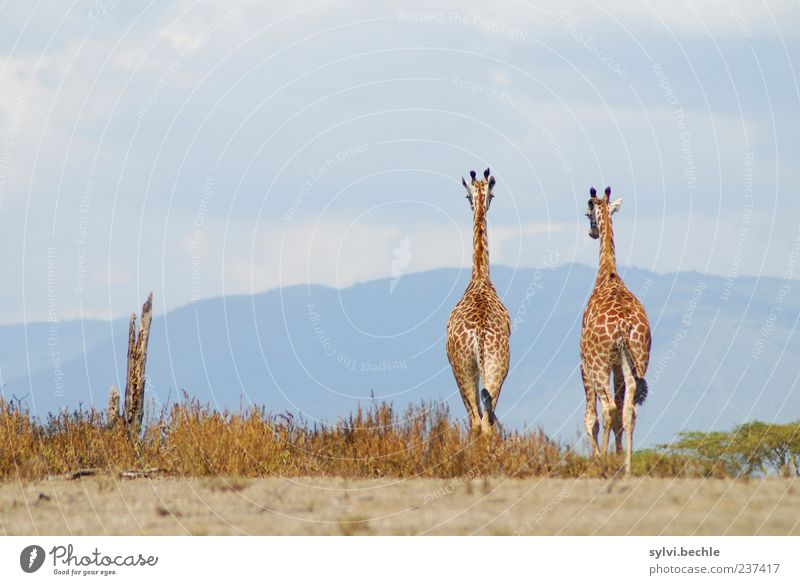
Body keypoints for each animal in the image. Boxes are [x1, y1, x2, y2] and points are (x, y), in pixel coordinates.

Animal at [444, 167, 512, 432]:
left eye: (466, 196)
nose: (474, 203)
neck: (480, 278)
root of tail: (479, 336)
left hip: (467, 369)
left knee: (478, 420)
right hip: (493, 368)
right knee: (486, 420)